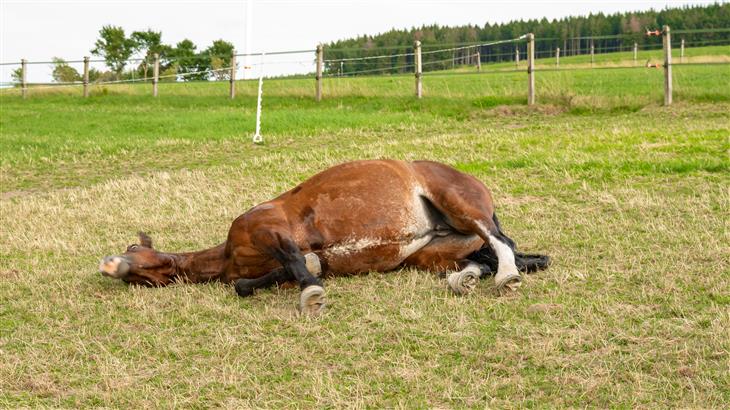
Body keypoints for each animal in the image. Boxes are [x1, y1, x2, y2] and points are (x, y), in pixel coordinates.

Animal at [99, 159, 548, 314]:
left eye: (132, 247)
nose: (108, 264)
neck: (227, 253)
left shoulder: (268, 229)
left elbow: (295, 262)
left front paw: (312, 294)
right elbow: (257, 281)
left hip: (460, 205)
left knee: (501, 245)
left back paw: (505, 276)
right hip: (431, 251)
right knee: (484, 255)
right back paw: (466, 277)